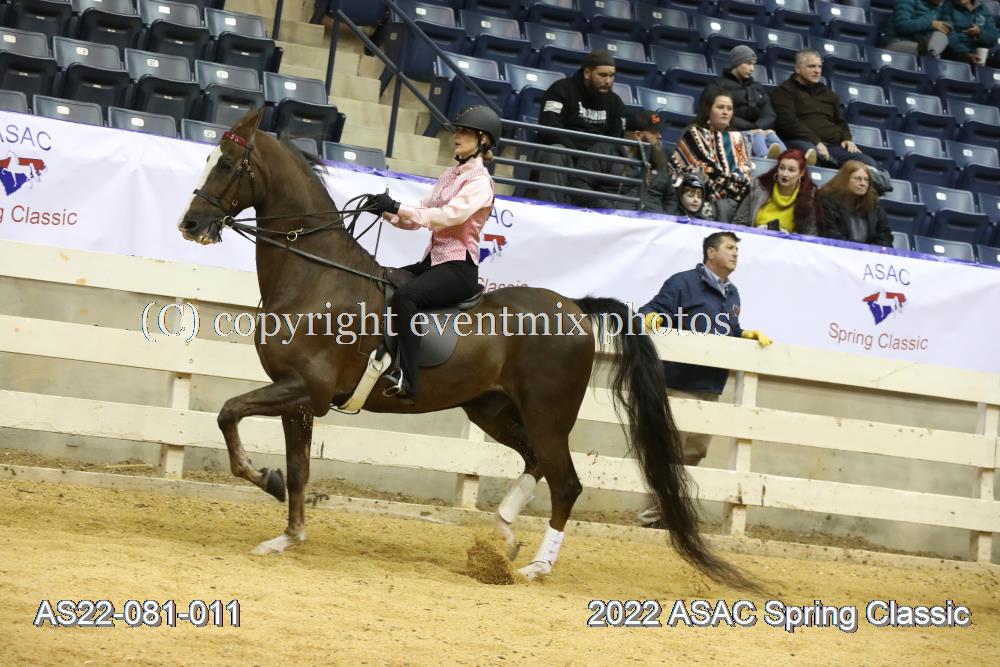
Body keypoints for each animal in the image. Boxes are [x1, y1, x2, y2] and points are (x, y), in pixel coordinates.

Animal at [177, 108, 756, 589]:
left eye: (225, 163)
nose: (190, 225)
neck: (316, 275)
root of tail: (573, 306)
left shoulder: (305, 389)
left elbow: (228, 413)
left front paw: (263, 479)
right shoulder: (298, 397)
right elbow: (296, 468)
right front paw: (286, 531)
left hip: (547, 414)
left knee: (566, 484)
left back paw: (536, 566)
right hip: (491, 409)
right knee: (536, 464)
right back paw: (504, 534)